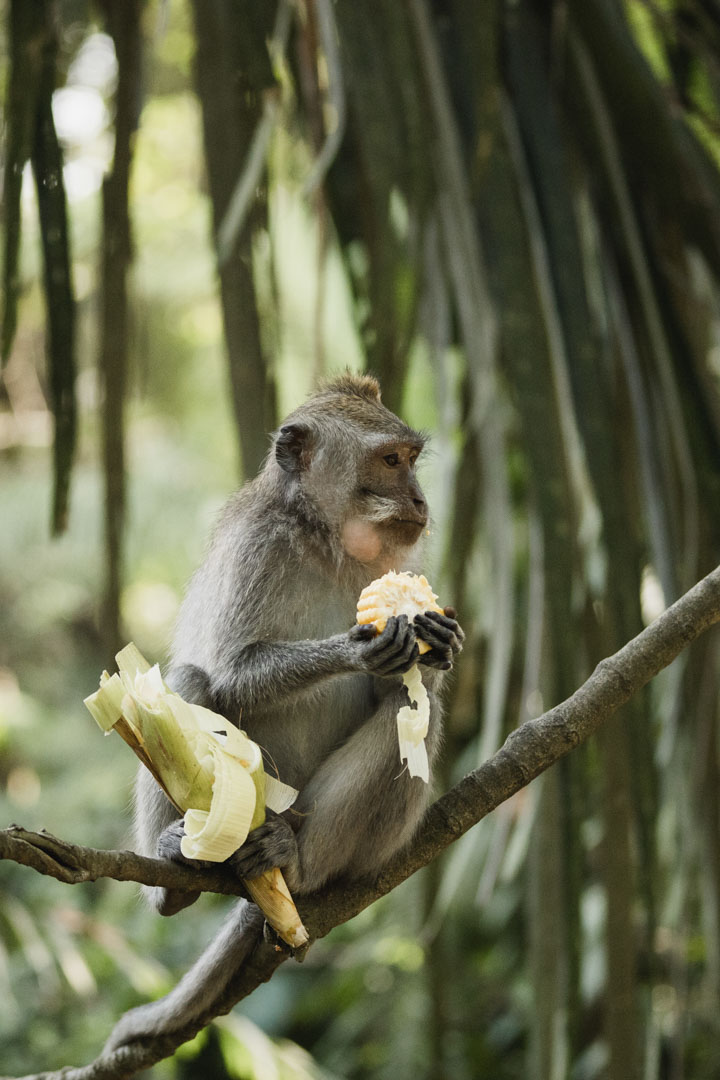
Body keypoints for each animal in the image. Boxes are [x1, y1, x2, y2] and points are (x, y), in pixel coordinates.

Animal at [105, 373, 463, 1050]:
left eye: (410, 458)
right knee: (186, 681)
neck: (327, 542)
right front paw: (359, 647)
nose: (421, 500)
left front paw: (436, 644)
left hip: (341, 831)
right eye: (390, 461)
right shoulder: (258, 547)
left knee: (409, 712)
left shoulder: (402, 560)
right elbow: (231, 671)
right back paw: (174, 874)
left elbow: (410, 690)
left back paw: (295, 867)